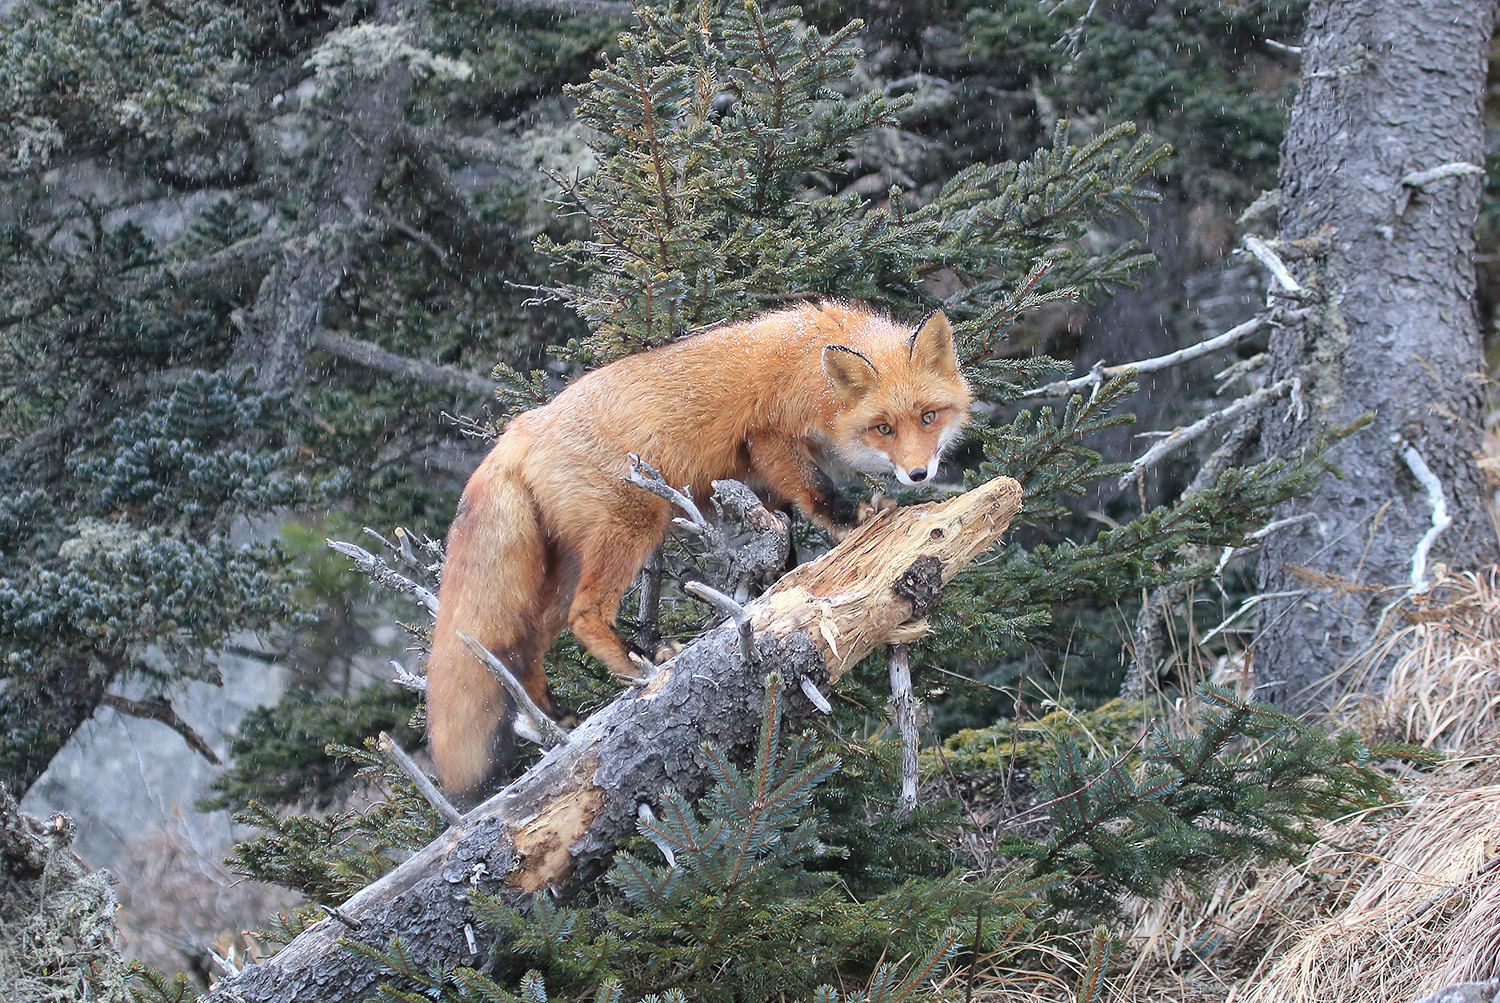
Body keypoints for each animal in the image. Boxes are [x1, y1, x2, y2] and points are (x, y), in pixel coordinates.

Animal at [429, 301, 978, 791]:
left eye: (928, 417)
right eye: (884, 427)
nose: (918, 473)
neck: (812, 369)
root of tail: (520, 428)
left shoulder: (761, 481)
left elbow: (783, 534)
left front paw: (781, 584)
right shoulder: (767, 438)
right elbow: (816, 490)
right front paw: (849, 522)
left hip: (563, 569)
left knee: (528, 645)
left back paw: (552, 719)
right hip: (630, 526)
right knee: (583, 615)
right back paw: (638, 662)